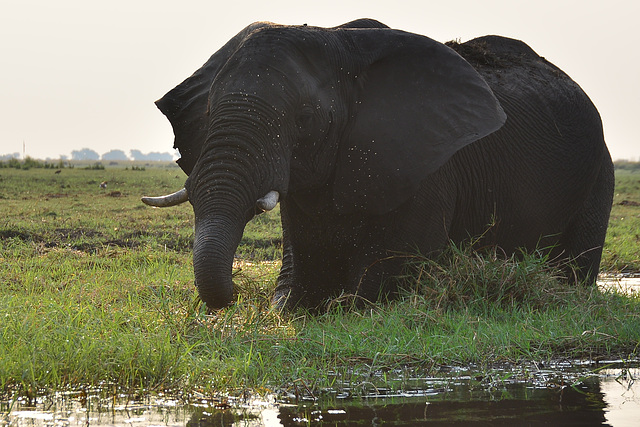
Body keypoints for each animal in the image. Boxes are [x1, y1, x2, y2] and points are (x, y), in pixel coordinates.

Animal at [145, 18, 616, 310]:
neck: (336, 41)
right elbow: (297, 286)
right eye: (209, 113)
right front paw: (289, 305)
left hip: (601, 173)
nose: (237, 296)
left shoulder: (425, 167)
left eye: (305, 118)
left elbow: (382, 280)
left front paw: (347, 305)